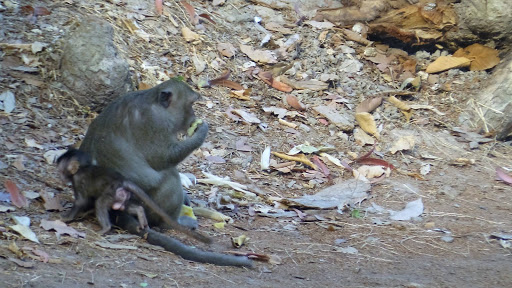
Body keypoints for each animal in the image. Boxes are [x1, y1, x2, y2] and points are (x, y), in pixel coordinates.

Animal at [79, 79, 253, 268]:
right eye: (191, 104)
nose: (193, 116)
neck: (152, 100)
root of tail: (115, 210)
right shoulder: (155, 122)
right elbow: (163, 158)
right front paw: (201, 131)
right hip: (146, 206)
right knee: (169, 178)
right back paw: (174, 222)